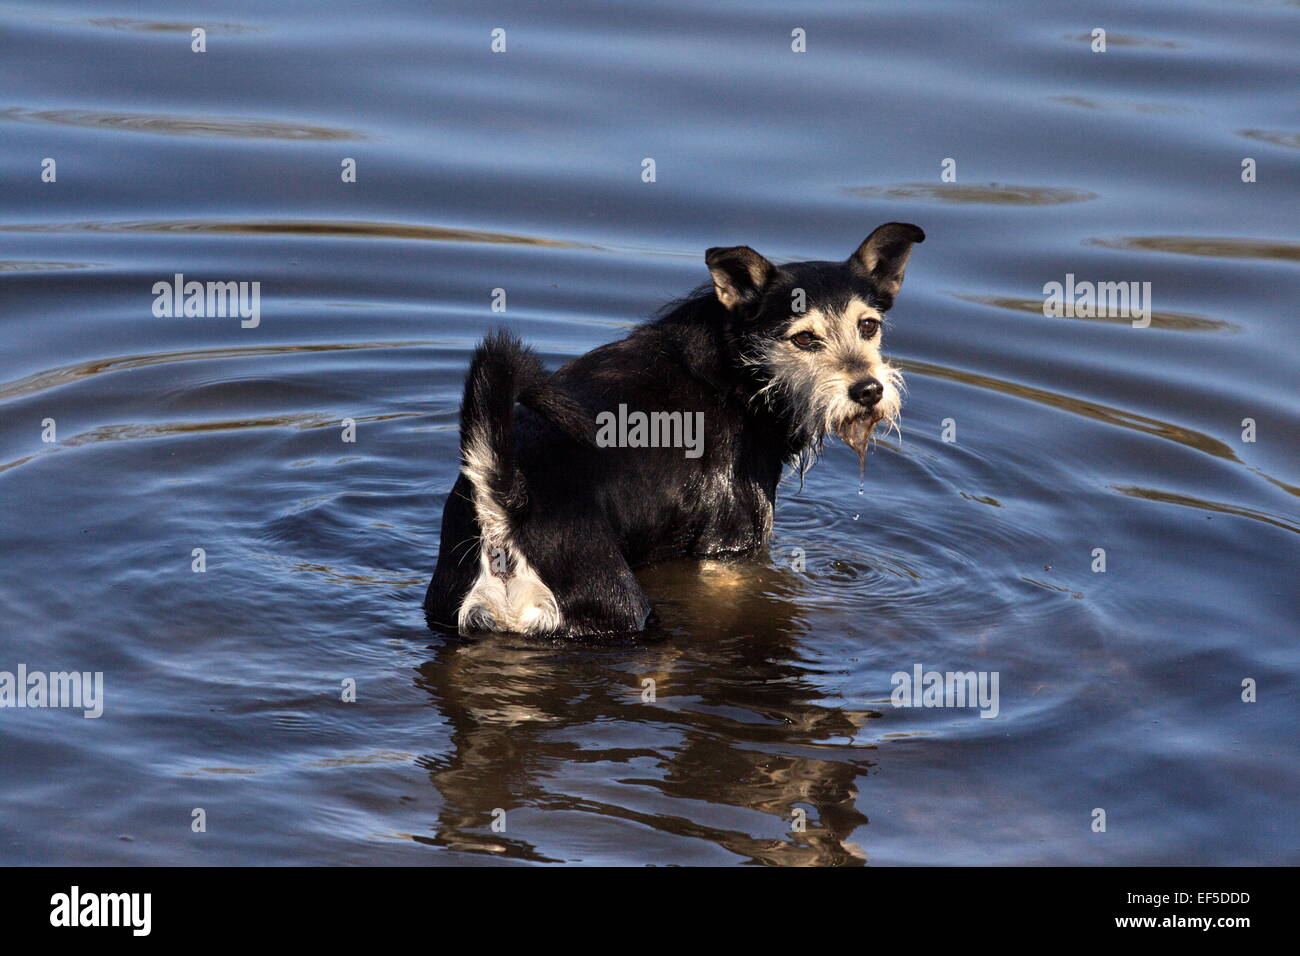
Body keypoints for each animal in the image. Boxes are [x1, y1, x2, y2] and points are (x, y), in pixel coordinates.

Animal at [423, 223, 925, 639]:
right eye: (803, 338)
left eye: (868, 326)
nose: (868, 390)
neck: (739, 374)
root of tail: (506, 504)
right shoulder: (731, 548)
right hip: (620, 611)